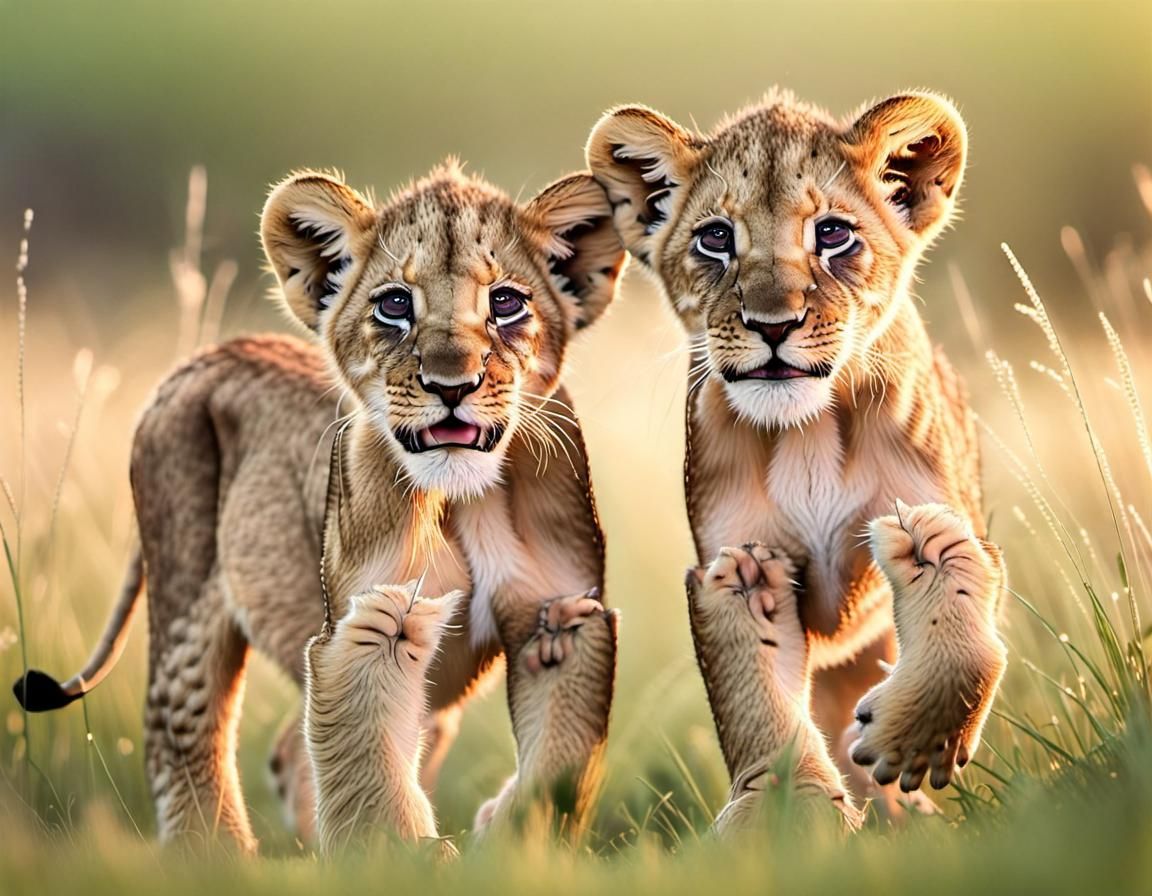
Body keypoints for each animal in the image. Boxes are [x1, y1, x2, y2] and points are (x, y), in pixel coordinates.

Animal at [13, 162, 627, 853]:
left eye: (505, 303)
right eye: (394, 304)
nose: (452, 387)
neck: (459, 499)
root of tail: (204, 358)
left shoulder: (561, 610)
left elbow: (562, 759)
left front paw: (512, 841)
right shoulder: (375, 613)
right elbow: (368, 766)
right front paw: (393, 857)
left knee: (297, 749)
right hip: (187, 590)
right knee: (182, 724)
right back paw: (220, 858)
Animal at [587, 90, 1006, 819]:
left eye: (833, 234)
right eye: (716, 237)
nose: (773, 325)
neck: (806, 434)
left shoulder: (936, 514)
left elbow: (960, 594)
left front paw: (908, 745)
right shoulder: (738, 561)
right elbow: (755, 696)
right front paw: (787, 810)